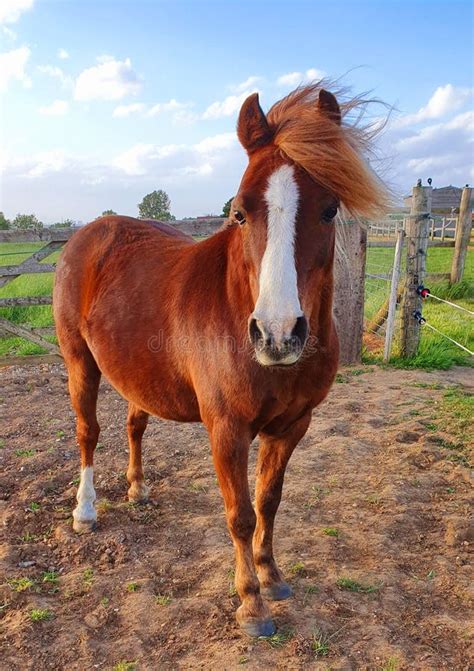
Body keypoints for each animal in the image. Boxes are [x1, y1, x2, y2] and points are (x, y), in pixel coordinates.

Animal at [53, 82, 386, 636]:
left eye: (329, 210)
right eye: (241, 212)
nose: (277, 334)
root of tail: (87, 234)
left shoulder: (293, 425)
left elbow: (268, 501)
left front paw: (272, 577)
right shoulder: (226, 428)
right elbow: (240, 514)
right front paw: (251, 602)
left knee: (135, 424)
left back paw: (138, 488)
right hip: (79, 362)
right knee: (87, 433)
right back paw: (85, 511)